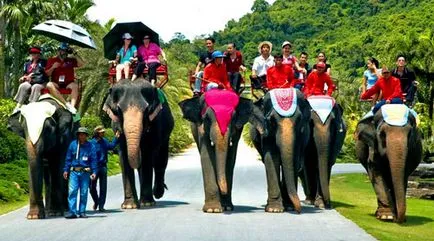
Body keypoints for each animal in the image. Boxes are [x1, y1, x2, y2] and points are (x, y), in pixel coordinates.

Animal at [104, 79, 175, 209]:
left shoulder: (155, 123)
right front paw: (129, 206)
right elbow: (124, 156)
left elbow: (147, 155)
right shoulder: (115, 124)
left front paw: (147, 204)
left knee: (160, 160)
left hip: (167, 133)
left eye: (146, 110)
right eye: (119, 110)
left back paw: (156, 194)